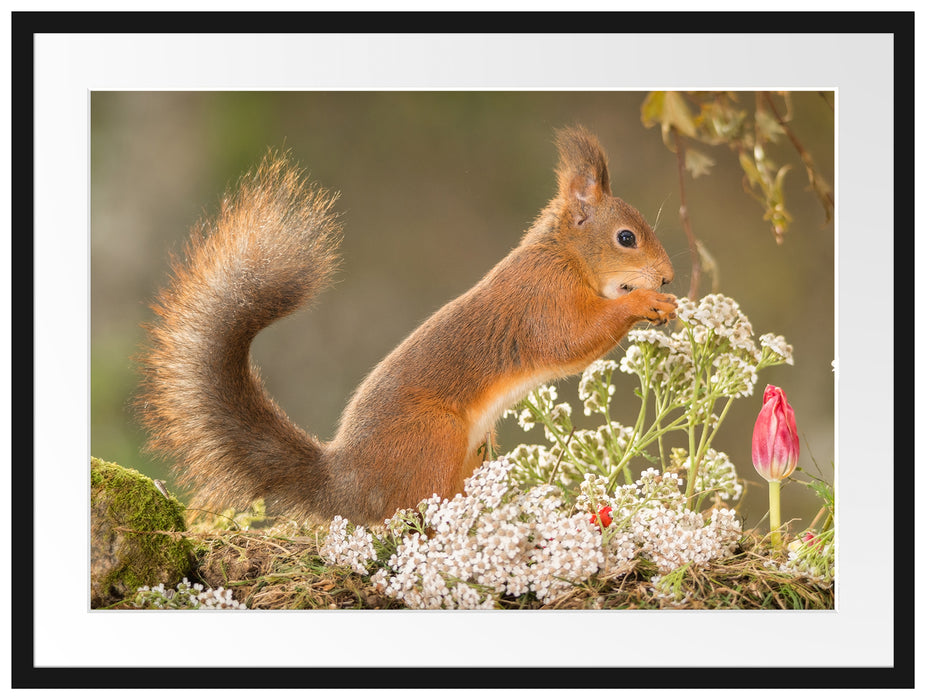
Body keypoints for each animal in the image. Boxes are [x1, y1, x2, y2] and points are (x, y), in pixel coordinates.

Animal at [136, 127, 676, 524]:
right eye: (626, 238)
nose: (669, 276)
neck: (564, 255)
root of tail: (345, 485)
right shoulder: (543, 301)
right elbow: (572, 339)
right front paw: (646, 302)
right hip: (433, 439)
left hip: (474, 449)